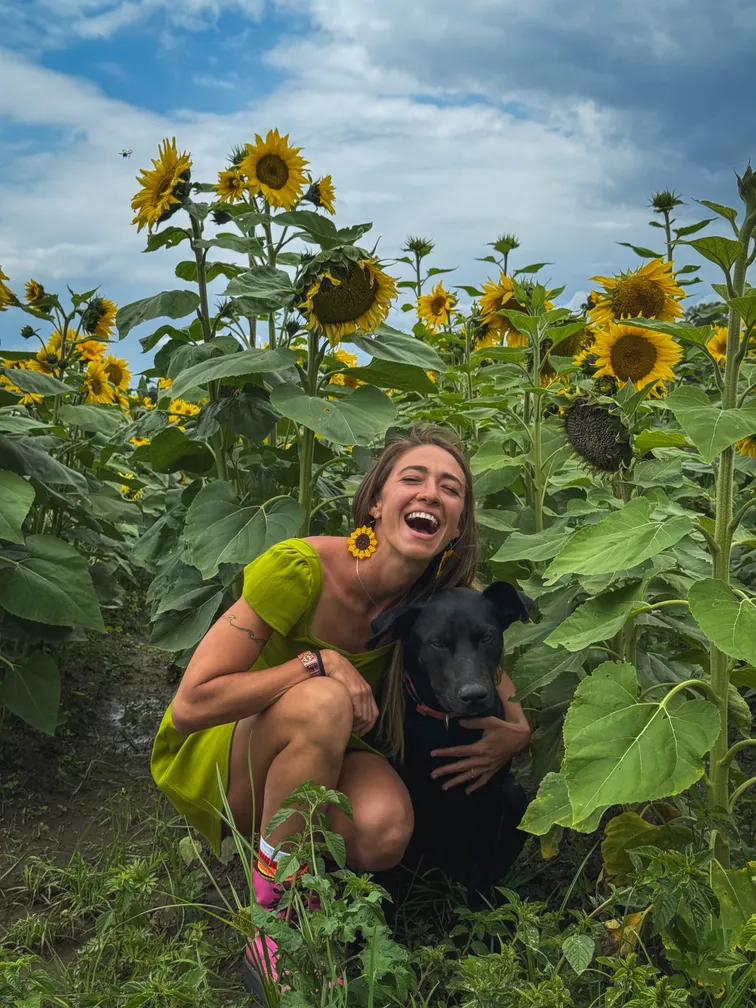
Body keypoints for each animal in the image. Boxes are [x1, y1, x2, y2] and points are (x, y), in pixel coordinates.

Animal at [366, 582, 532, 909]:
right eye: (438, 643)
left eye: (487, 637)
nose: (474, 695)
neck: (446, 726)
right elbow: (385, 883)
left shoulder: (488, 799)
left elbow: (480, 876)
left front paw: (483, 918)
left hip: (516, 796)